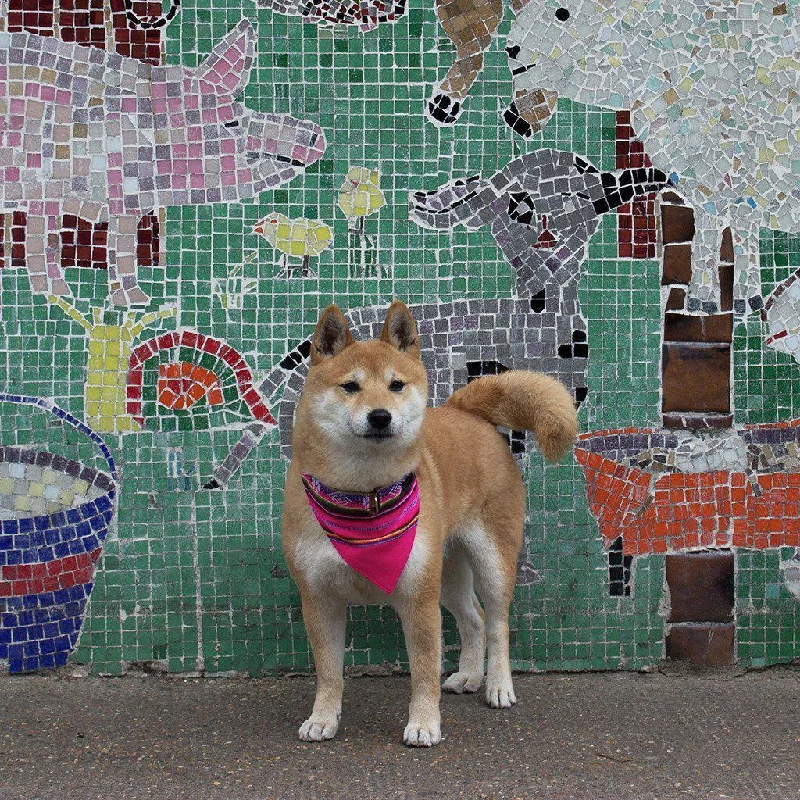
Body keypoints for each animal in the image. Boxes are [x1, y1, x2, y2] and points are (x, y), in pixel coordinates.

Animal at [284, 300, 580, 744]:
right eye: (350, 386)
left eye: (396, 385)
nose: (380, 416)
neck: (365, 495)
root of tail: (464, 410)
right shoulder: (319, 599)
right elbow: (329, 673)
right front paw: (323, 718)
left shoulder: (417, 597)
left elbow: (423, 672)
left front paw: (424, 723)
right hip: (447, 572)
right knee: (474, 620)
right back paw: (470, 676)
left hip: (491, 562)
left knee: (497, 623)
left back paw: (498, 686)